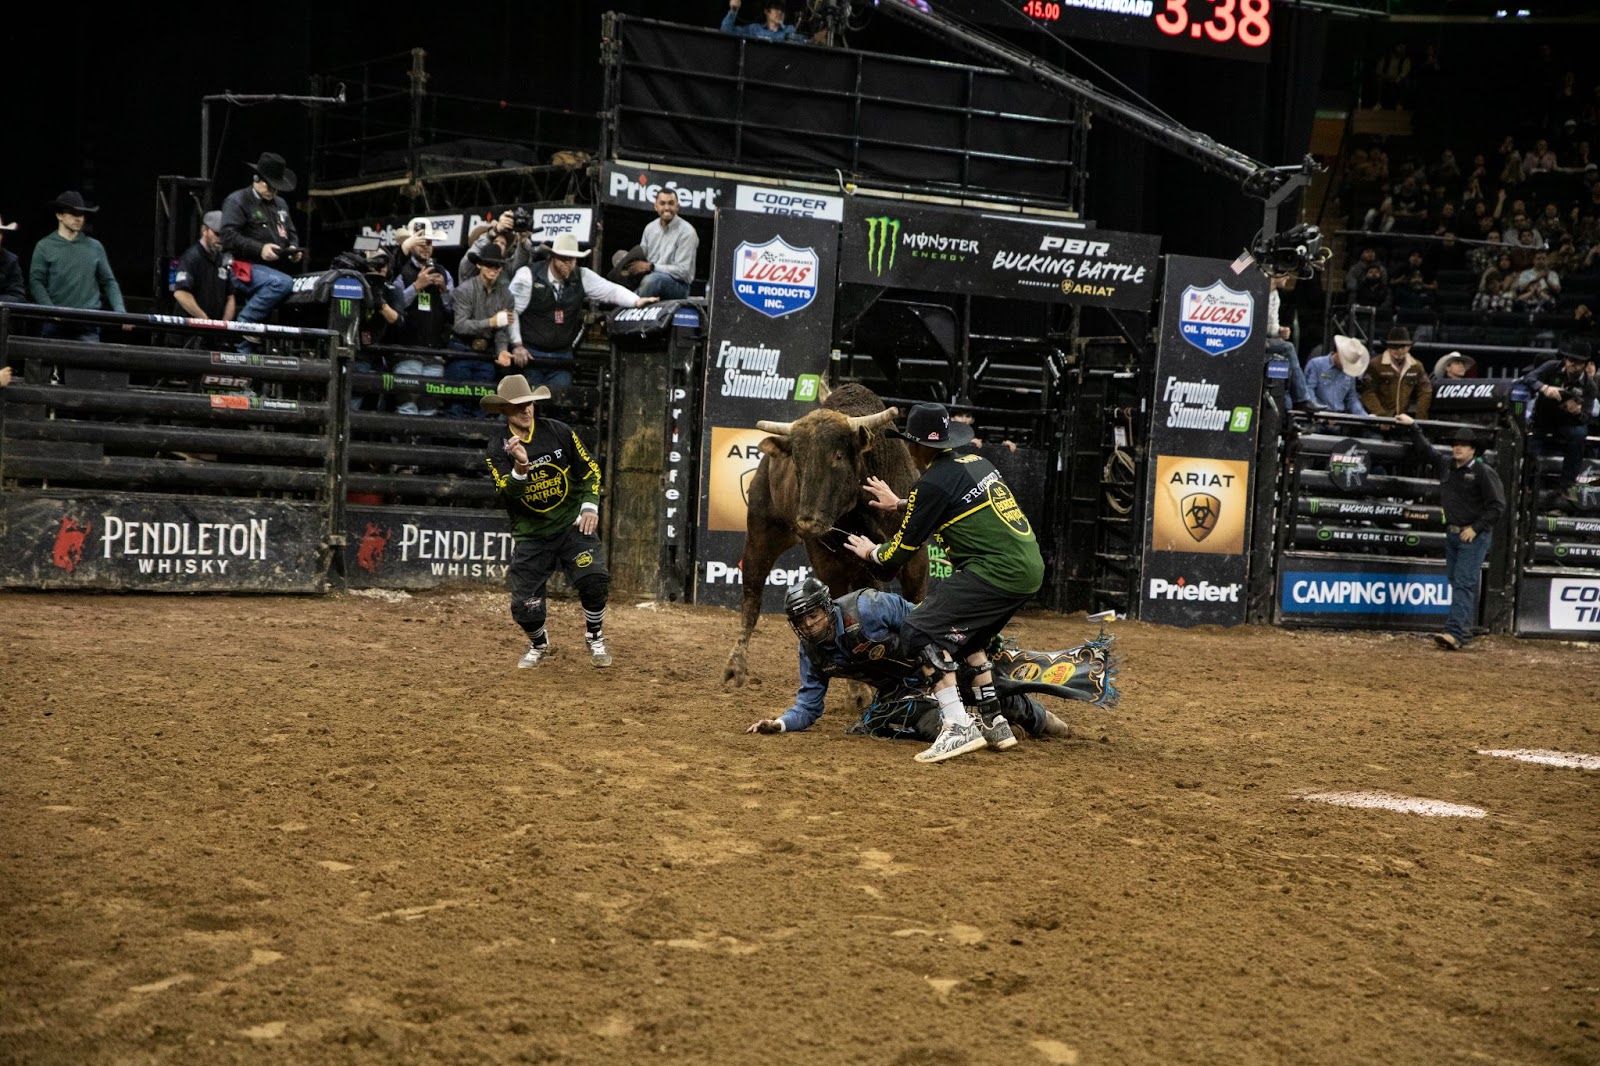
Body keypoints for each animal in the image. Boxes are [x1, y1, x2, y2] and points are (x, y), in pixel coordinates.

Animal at [723, 377, 928, 685]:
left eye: (838, 456)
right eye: (797, 460)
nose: (807, 522)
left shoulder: (916, 560)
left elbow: (914, 603)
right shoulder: (830, 566)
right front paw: (859, 689)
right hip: (762, 533)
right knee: (752, 596)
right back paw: (735, 666)